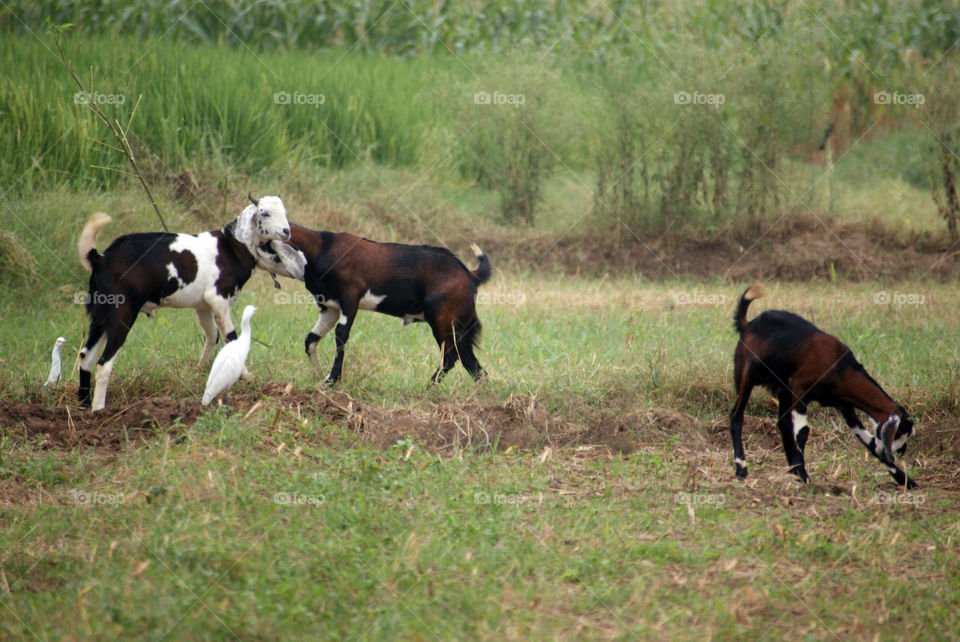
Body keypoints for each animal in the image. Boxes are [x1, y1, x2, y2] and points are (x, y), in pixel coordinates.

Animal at [76, 194, 291, 411]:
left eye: (284, 212)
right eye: (264, 213)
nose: (286, 231)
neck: (231, 248)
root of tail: (100, 258)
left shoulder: (203, 305)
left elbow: (212, 336)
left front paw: (200, 370)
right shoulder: (218, 298)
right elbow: (231, 337)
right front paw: (246, 376)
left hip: (101, 314)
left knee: (85, 357)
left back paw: (83, 405)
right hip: (121, 312)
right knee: (104, 363)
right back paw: (98, 409)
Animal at [257, 224, 492, 384]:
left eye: (266, 245)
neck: (322, 247)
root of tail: (470, 274)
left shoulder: (350, 300)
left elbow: (341, 337)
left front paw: (331, 380)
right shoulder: (330, 308)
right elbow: (311, 340)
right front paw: (318, 376)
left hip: (443, 321)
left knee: (452, 357)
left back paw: (428, 387)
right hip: (460, 327)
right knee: (471, 363)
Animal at [729, 285, 917, 489]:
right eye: (899, 433)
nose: (897, 453)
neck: (840, 367)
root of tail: (749, 324)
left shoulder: (844, 406)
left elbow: (870, 442)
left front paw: (905, 479)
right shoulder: (800, 389)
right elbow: (803, 432)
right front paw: (804, 475)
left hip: (783, 389)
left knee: (783, 424)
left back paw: (792, 470)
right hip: (747, 377)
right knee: (736, 416)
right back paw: (742, 468)